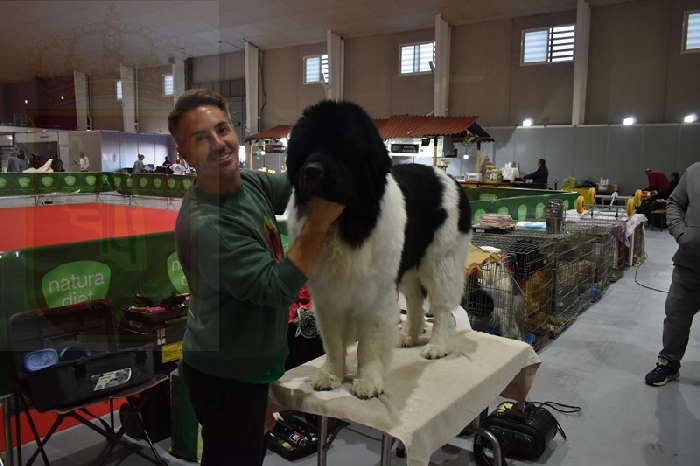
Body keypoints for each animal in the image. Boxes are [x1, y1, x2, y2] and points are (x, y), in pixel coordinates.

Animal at [286, 100, 472, 398]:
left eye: (343, 149)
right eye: (306, 149)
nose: (312, 170)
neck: (345, 224)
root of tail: (449, 178)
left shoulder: (375, 293)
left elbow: (369, 343)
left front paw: (368, 381)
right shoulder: (327, 293)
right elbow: (333, 341)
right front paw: (331, 375)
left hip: (441, 262)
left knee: (442, 307)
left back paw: (437, 346)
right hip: (407, 267)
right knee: (415, 301)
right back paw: (408, 335)